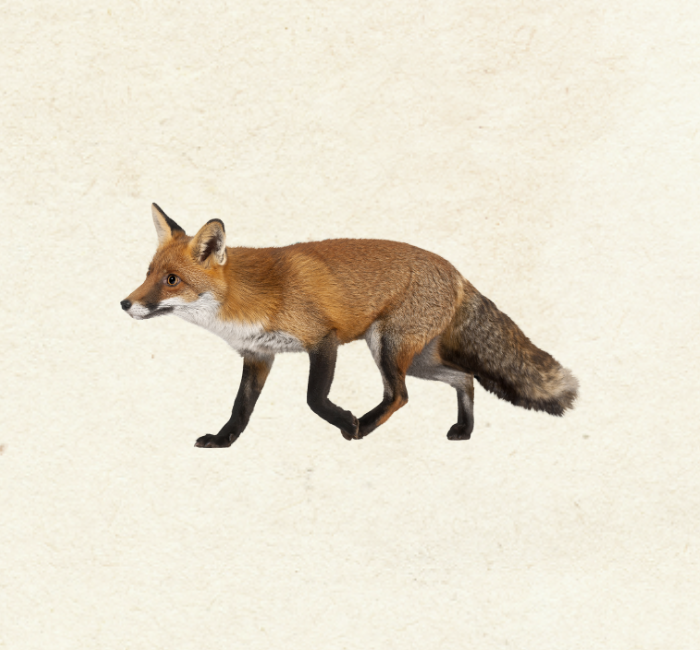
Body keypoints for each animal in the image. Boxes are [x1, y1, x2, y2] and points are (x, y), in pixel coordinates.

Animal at [121, 204, 578, 448]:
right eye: (148, 273)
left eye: (172, 280)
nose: (125, 304)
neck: (243, 298)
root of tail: (456, 272)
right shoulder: (259, 354)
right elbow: (240, 408)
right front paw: (223, 441)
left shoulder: (324, 339)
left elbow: (314, 398)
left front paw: (346, 421)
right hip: (419, 358)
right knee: (464, 378)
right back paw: (464, 430)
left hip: (387, 346)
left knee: (400, 395)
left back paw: (366, 426)